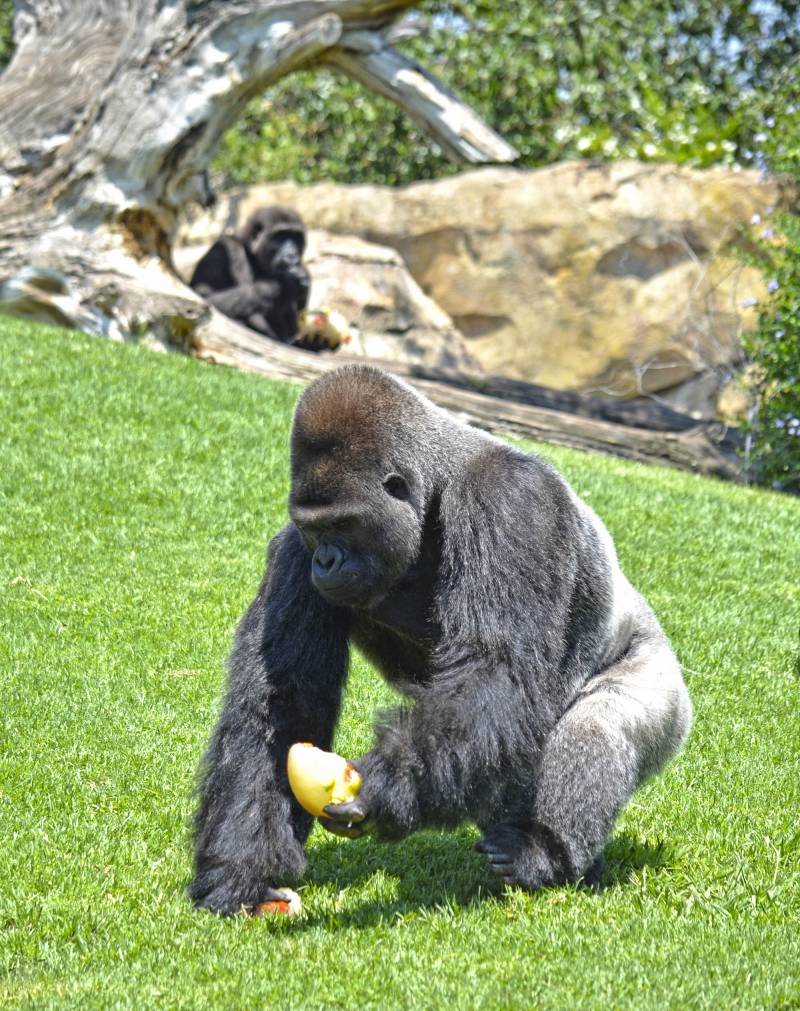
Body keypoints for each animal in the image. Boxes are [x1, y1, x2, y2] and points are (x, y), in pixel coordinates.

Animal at [189, 365, 695, 917]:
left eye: (342, 524)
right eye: (314, 529)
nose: (326, 561)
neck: (436, 487)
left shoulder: (509, 500)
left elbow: (496, 667)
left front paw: (388, 786)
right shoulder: (292, 551)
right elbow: (284, 705)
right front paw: (240, 870)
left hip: (661, 686)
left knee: (599, 724)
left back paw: (545, 851)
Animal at [190, 205, 309, 343]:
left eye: (295, 237)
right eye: (281, 236)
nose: (292, 254)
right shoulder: (221, 250)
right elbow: (205, 297)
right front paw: (284, 285)